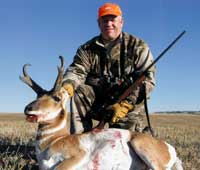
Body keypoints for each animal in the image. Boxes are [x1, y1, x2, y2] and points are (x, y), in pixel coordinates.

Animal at [20, 56, 183, 169]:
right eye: (38, 96)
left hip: (141, 146)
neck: (55, 140)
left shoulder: (78, 155)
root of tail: (168, 147)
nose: (27, 108)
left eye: (56, 97)